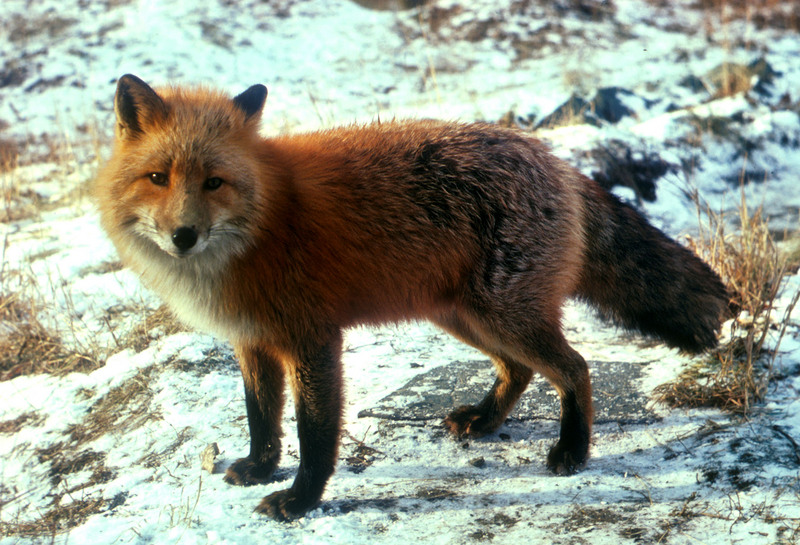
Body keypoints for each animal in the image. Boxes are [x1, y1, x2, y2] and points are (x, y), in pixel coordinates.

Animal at [97, 74, 728, 520]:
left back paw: (572, 450)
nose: (183, 236)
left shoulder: (312, 339)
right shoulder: (252, 341)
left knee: (576, 368)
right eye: (158, 178)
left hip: (501, 315)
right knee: (521, 371)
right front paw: (259, 468)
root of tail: (554, 159)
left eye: (214, 183)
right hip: (465, 317)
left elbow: (313, 432)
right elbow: (261, 418)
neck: (261, 226)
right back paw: (485, 419)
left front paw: (301, 501)